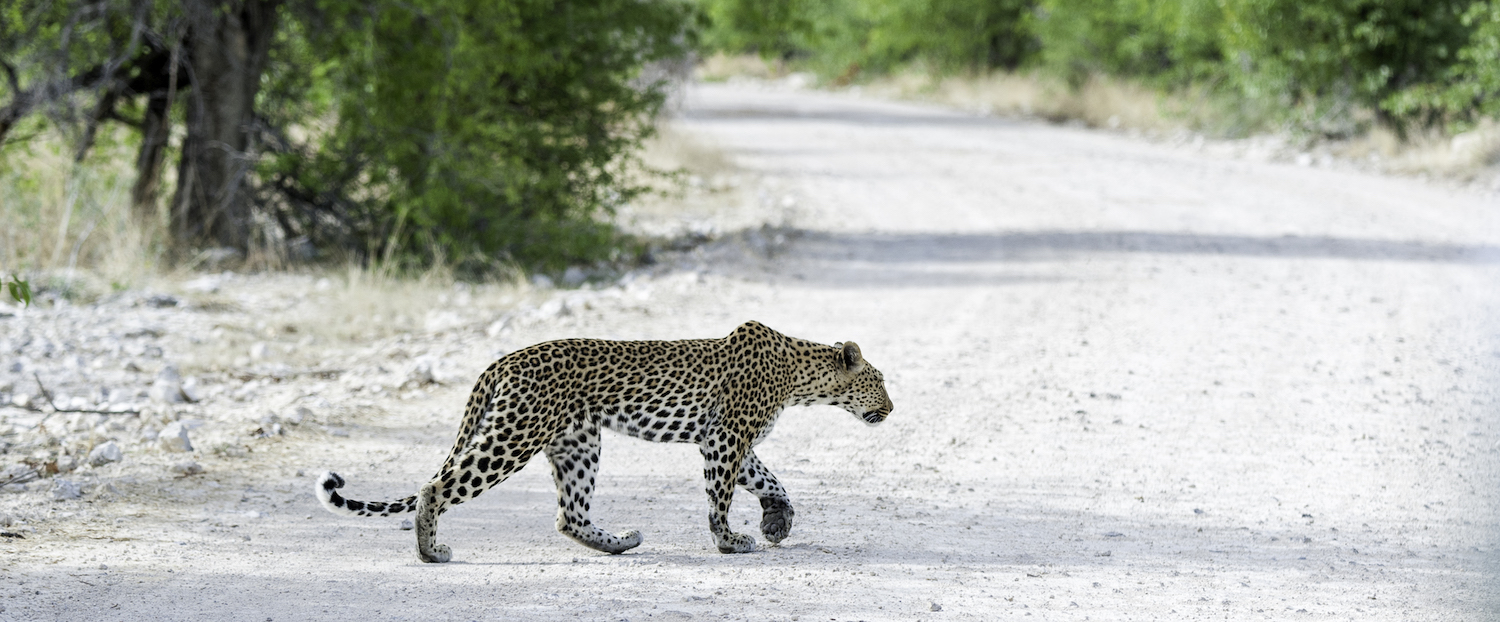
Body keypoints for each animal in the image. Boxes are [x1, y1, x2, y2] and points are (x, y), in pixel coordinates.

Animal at [316, 320, 893, 562]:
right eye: (880, 380)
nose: (890, 408)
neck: (801, 376)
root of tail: (501, 360)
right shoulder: (725, 437)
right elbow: (721, 496)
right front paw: (729, 541)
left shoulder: (726, 439)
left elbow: (769, 480)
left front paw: (777, 520)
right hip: (514, 436)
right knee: (435, 487)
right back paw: (431, 552)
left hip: (577, 443)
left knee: (568, 514)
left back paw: (620, 543)